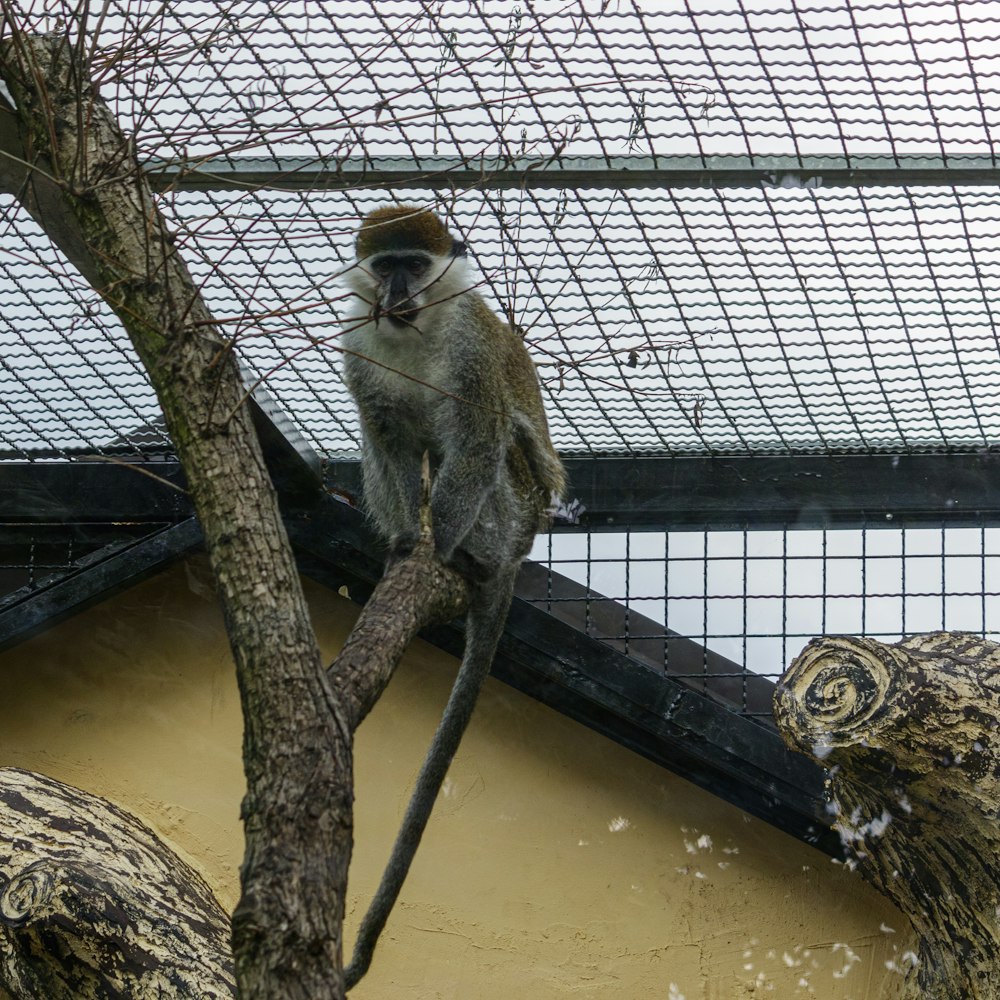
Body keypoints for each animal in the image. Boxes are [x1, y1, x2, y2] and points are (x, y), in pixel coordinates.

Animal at [340, 203, 568, 984]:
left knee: (497, 447)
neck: (415, 332)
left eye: (415, 263)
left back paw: (468, 553)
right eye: (384, 266)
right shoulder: (358, 340)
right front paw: (407, 541)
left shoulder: (470, 348)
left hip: (518, 509)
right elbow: (388, 438)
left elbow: (474, 437)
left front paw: (437, 548)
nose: (396, 292)